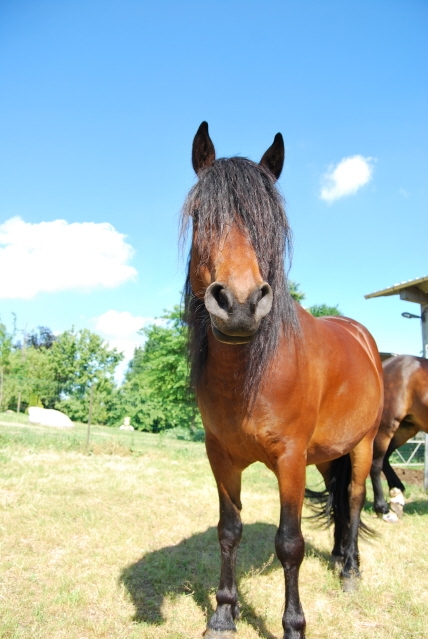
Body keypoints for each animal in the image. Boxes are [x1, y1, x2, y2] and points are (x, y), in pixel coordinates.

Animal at [182, 124, 382, 639]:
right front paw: (223, 613)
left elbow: (290, 543)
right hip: (328, 454)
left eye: (269, 221)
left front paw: (293, 625)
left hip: (363, 444)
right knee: (339, 502)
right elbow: (228, 530)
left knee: (353, 500)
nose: (239, 304)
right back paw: (338, 556)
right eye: (199, 214)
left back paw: (351, 571)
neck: (250, 377)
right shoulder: (221, 456)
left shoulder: (290, 459)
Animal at [370, 356, 426, 520]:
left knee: (385, 459)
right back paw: (382, 507)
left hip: (404, 429)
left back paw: (397, 495)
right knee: (376, 464)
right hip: (386, 427)